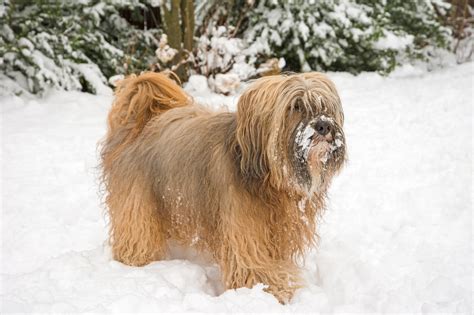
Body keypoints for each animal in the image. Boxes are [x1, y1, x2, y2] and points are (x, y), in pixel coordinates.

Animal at [101, 72, 344, 304]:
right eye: (296, 106)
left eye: (324, 106)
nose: (324, 126)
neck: (269, 179)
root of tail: (140, 122)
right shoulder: (243, 231)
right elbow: (253, 265)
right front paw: (276, 290)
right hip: (138, 202)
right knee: (137, 234)